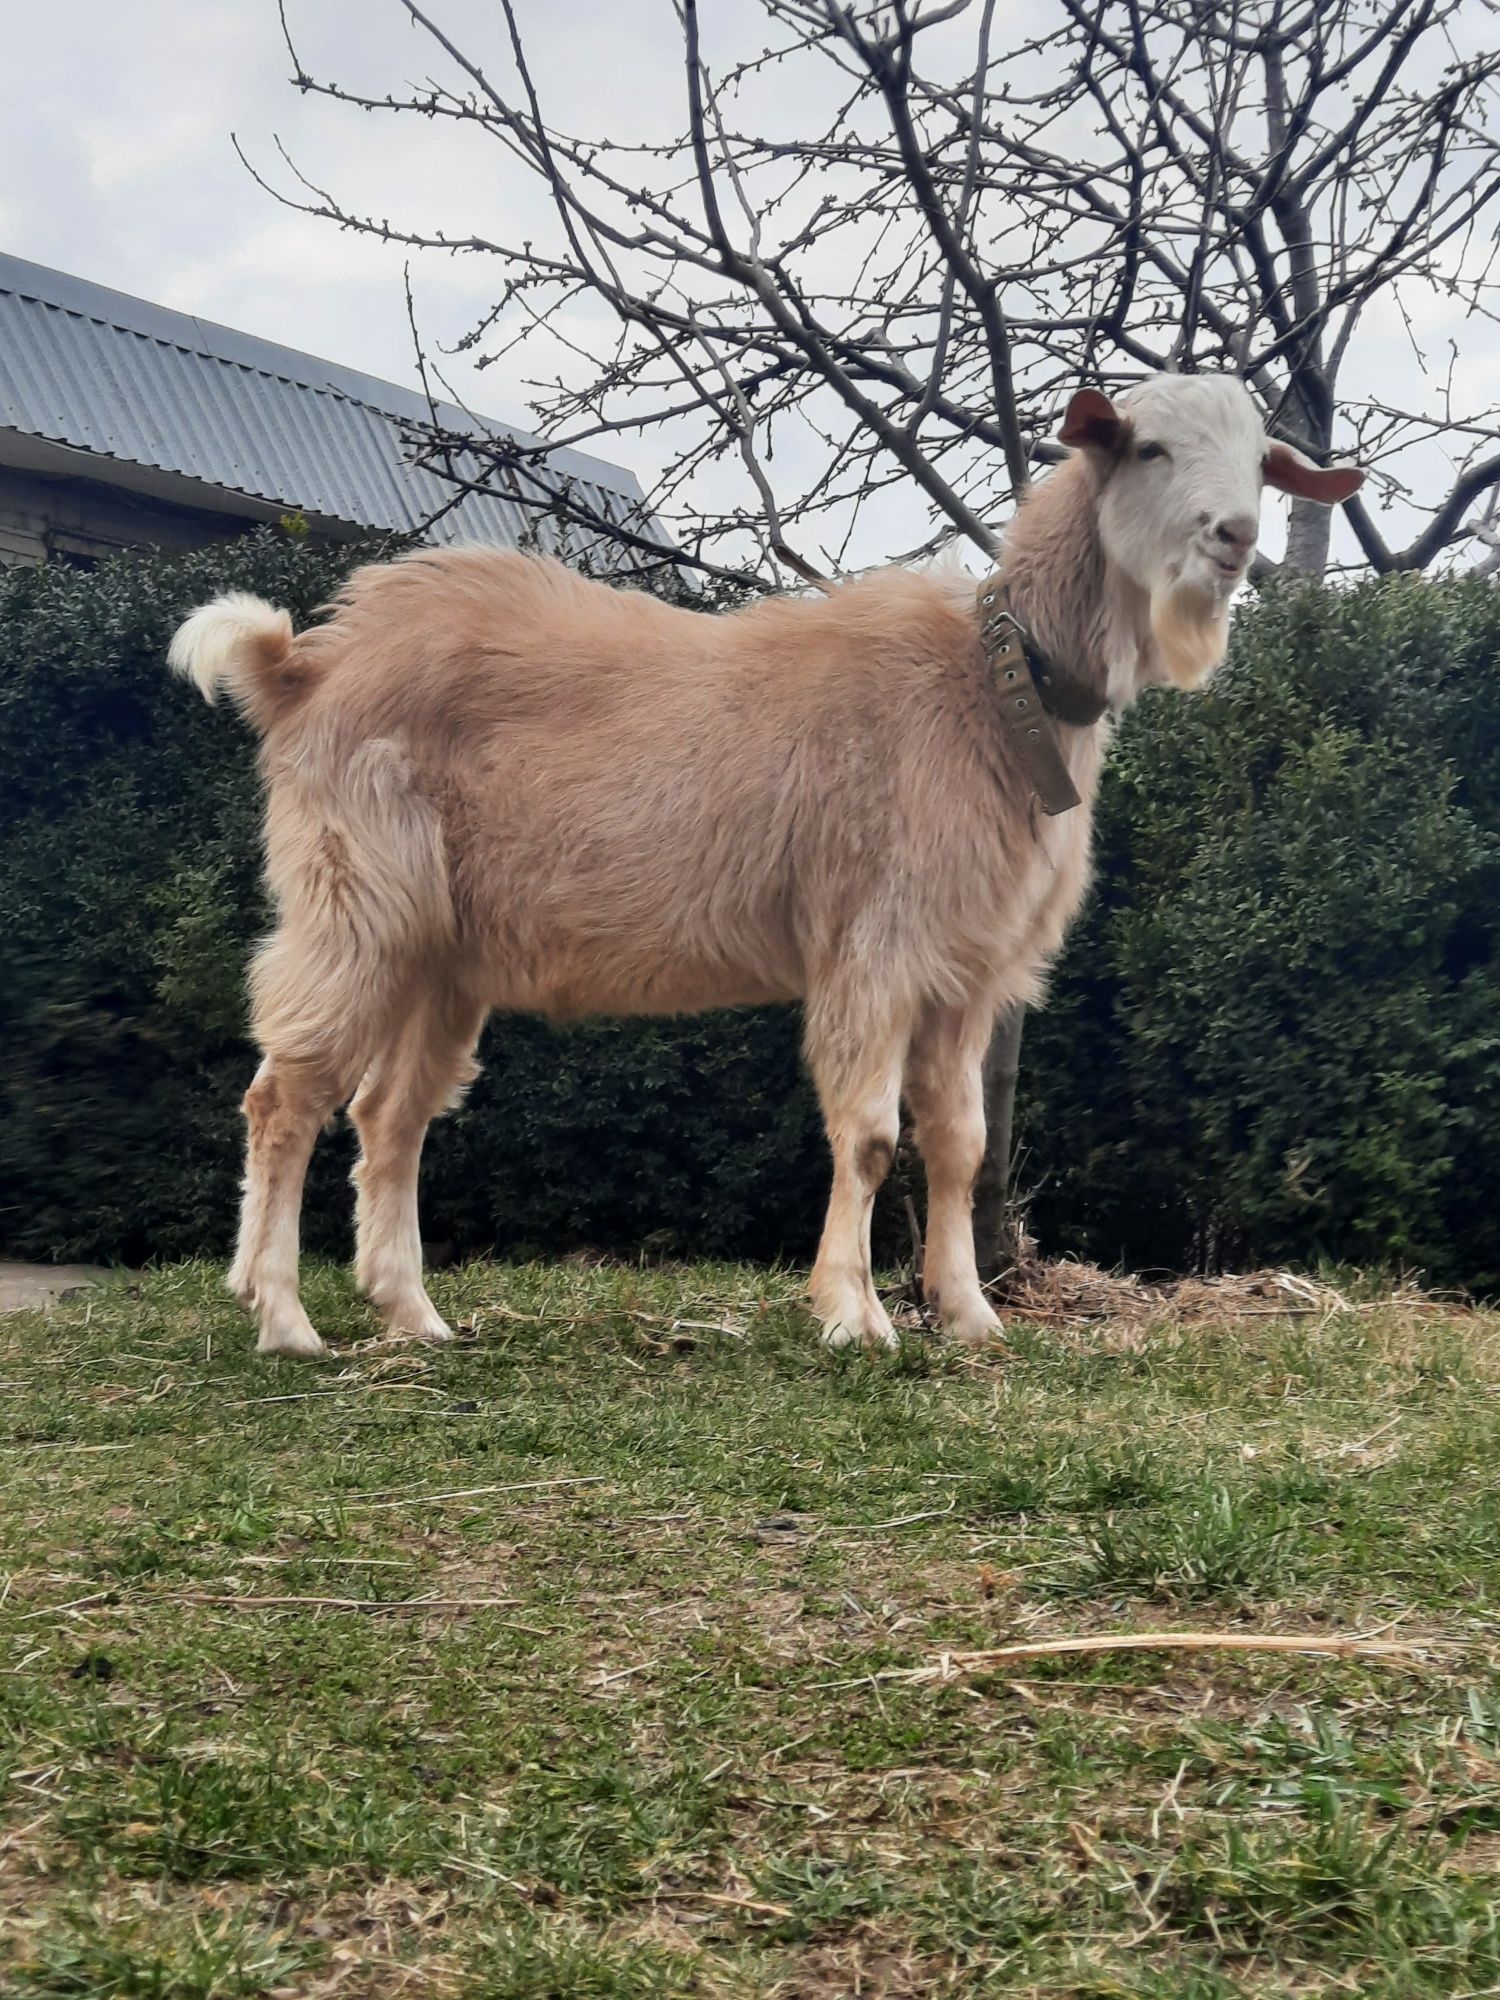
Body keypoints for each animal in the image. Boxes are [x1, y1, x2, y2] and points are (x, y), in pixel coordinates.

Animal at [170, 372, 1368, 1360]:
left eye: (1263, 458)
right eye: (1149, 447)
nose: (1235, 535)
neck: (994, 684)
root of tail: (307, 667)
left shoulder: (967, 971)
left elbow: (963, 1142)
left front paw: (969, 1315)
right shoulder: (877, 943)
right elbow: (874, 1136)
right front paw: (855, 1314)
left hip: (443, 948)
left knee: (391, 1114)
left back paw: (412, 1314)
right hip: (354, 899)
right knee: (285, 1095)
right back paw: (283, 1318)